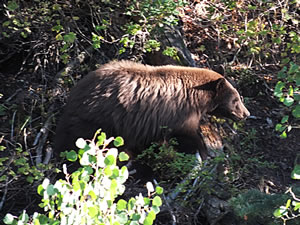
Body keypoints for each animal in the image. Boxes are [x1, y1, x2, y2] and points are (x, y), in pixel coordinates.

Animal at [55, 60, 250, 160]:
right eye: (236, 100)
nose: (246, 114)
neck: (196, 95)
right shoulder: (180, 113)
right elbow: (187, 135)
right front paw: (203, 152)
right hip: (99, 119)